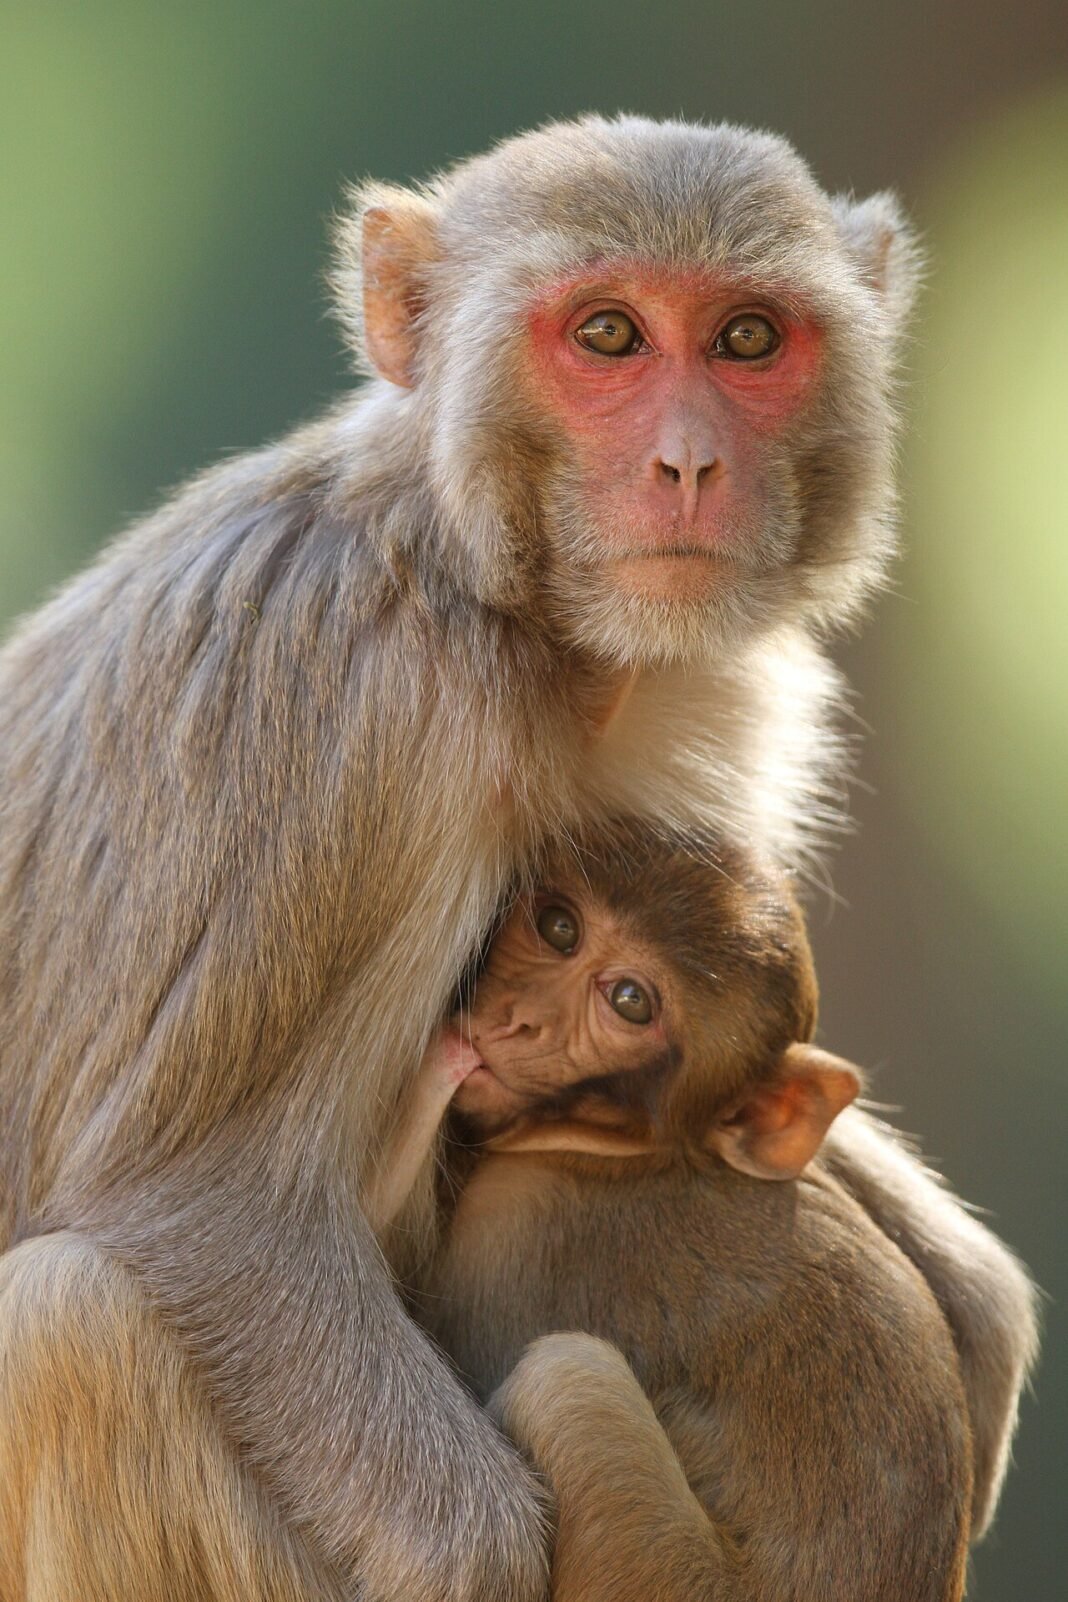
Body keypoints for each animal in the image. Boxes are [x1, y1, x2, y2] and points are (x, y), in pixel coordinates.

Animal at [371, 824, 1032, 1600]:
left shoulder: (520, 1228)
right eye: (559, 928)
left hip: (656, 1566)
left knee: (570, 1378)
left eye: (630, 1001)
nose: (518, 1020)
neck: (638, 1152)